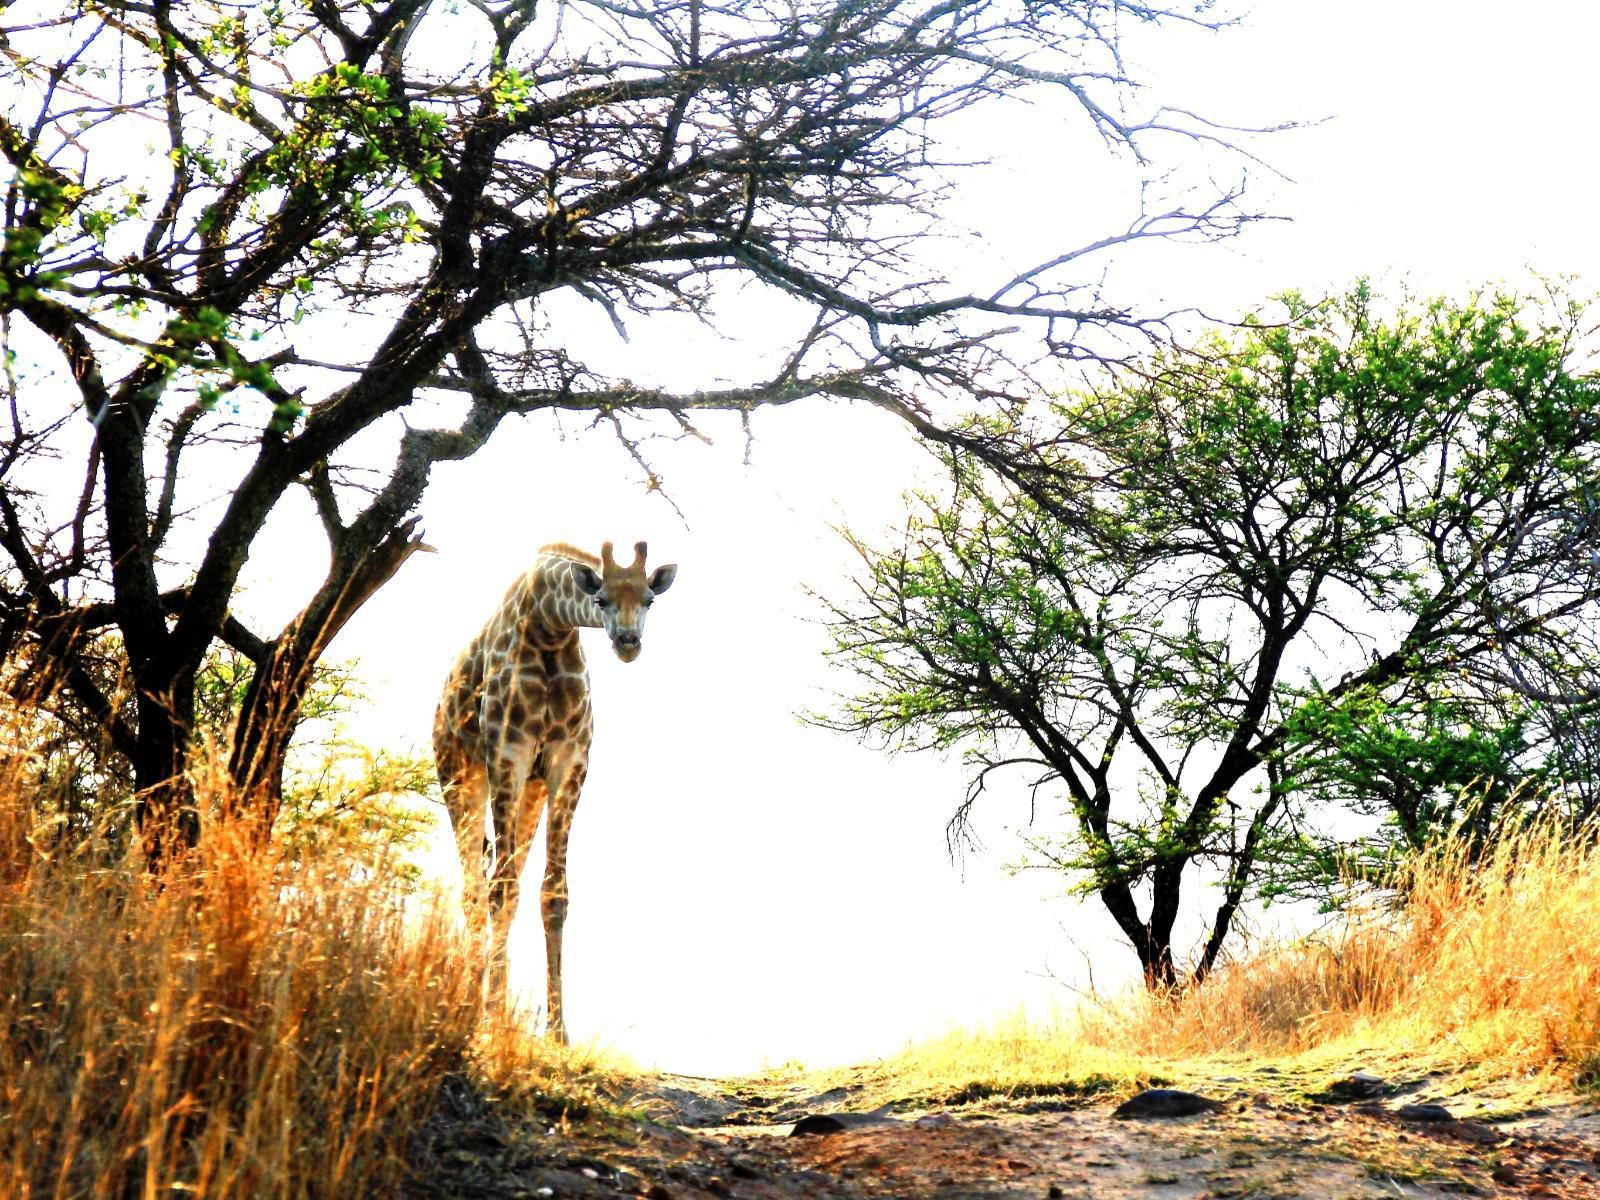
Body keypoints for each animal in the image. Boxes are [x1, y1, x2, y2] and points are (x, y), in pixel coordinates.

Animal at [432, 537, 675, 1043]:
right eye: (600, 598)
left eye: (649, 599)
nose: (628, 643)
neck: (550, 628)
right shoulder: (508, 752)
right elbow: (500, 890)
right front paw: (495, 1020)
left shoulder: (569, 760)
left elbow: (554, 894)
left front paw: (559, 1032)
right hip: (458, 773)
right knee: (475, 888)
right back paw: (468, 1006)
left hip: (531, 792)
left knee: (500, 881)